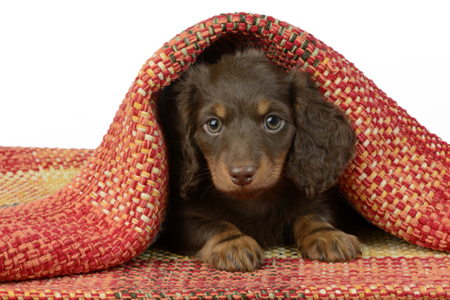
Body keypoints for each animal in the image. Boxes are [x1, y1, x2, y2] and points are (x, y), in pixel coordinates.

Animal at [156, 48, 360, 272]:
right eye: (213, 124)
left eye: (273, 121)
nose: (242, 174)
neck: (255, 201)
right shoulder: (180, 220)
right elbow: (214, 225)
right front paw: (233, 243)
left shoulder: (323, 201)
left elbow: (312, 215)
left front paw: (326, 234)